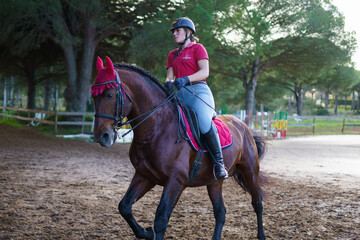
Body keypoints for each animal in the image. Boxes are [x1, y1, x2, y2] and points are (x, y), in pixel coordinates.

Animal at [91, 56, 268, 240]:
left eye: (109, 95)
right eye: (93, 97)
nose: (102, 136)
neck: (156, 129)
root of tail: (242, 125)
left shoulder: (176, 181)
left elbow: (161, 219)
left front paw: (150, 231)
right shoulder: (145, 176)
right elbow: (125, 206)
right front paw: (146, 232)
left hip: (250, 170)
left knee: (257, 203)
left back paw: (261, 235)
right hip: (214, 181)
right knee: (220, 212)